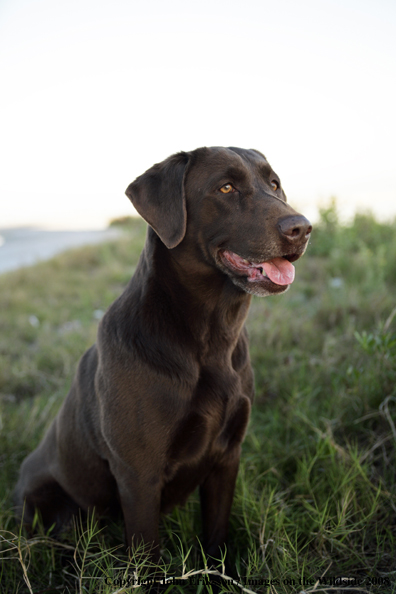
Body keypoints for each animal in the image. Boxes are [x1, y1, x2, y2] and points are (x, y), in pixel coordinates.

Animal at [14, 146, 312, 560]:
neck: (210, 338)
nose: (302, 228)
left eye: (274, 184)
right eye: (226, 187)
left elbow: (216, 534)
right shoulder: (139, 476)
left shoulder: (227, 457)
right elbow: (147, 556)